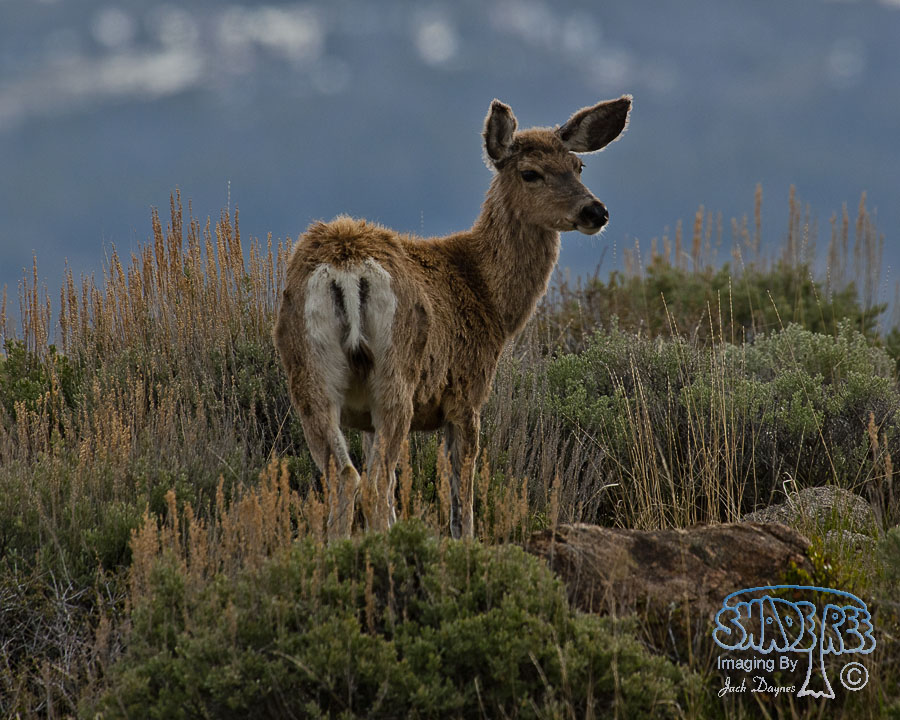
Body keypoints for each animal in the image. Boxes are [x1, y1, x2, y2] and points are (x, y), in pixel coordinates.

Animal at [274, 96, 632, 540]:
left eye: (578, 166)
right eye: (530, 173)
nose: (595, 211)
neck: (489, 297)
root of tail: (345, 264)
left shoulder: (366, 421)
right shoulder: (467, 392)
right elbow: (462, 499)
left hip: (308, 375)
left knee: (346, 477)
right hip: (398, 373)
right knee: (374, 483)